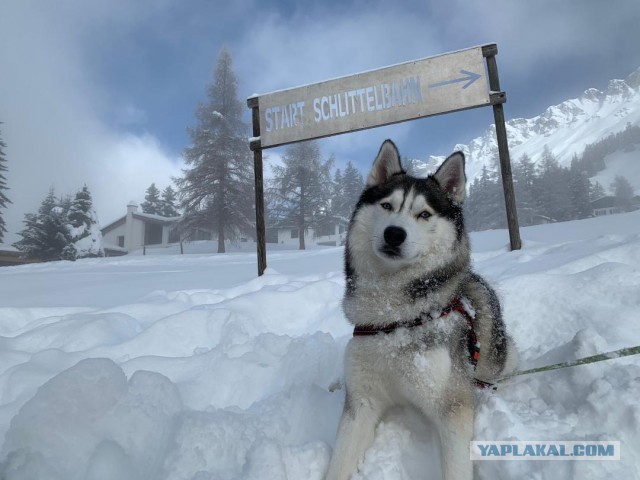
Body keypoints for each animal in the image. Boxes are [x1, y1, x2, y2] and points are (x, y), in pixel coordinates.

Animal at [328, 140, 516, 480]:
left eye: (424, 214)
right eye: (386, 206)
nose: (394, 233)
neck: (394, 319)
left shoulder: (451, 407)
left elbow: (456, 466)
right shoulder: (362, 400)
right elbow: (338, 465)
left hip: (498, 359)